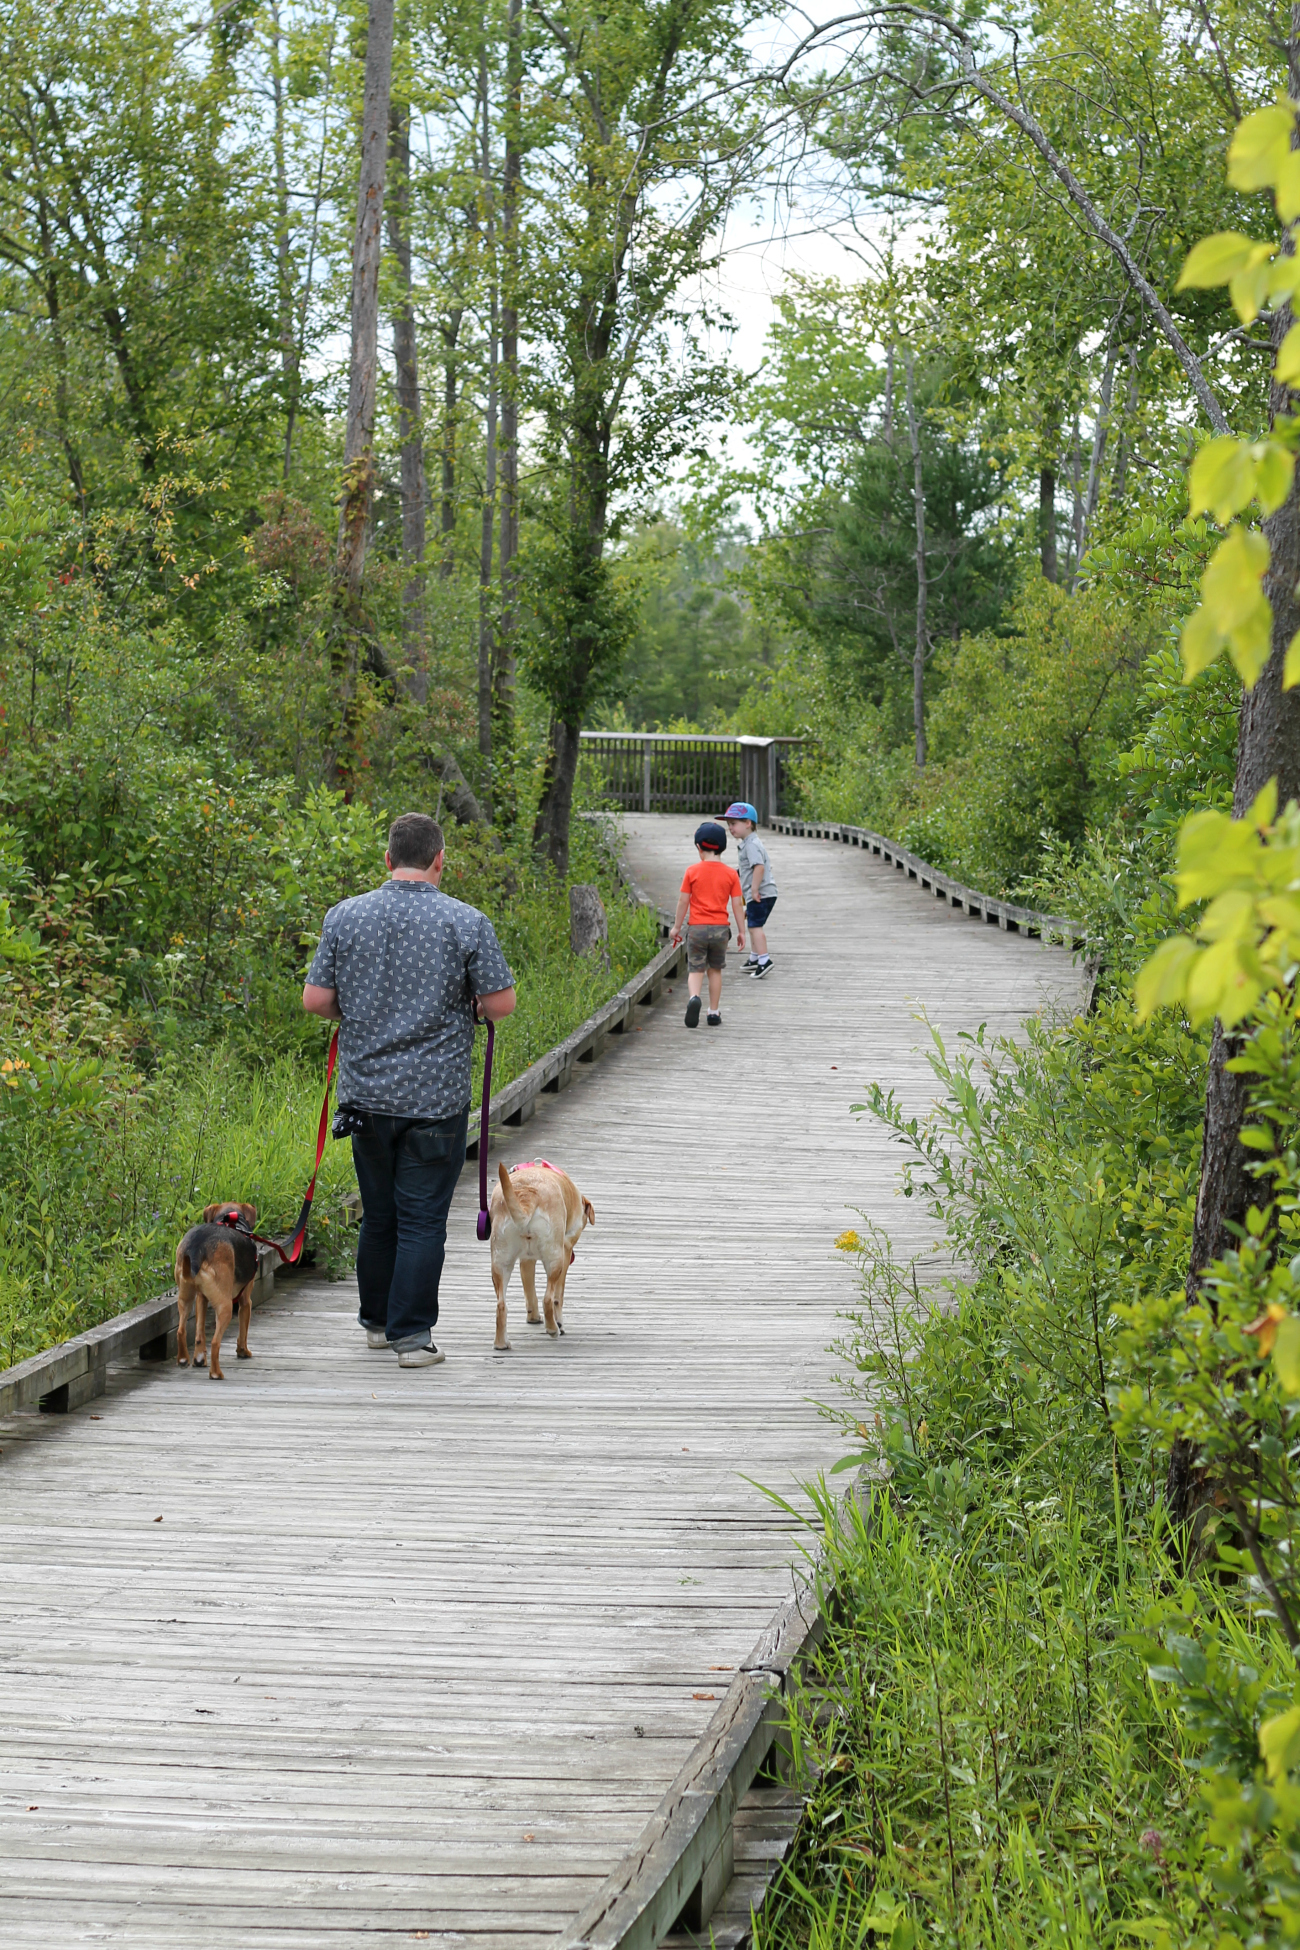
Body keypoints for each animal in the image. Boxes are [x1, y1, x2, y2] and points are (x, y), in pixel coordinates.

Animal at [178, 1193, 259, 1380]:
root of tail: (198, 1247)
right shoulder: (246, 1301)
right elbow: (243, 1331)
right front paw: (243, 1351)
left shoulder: (201, 1298)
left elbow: (199, 1333)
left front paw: (199, 1358)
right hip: (225, 1306)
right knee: (215, 1342)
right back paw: (216, 1373)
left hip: (186, 1298)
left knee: (182, 1331)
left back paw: (186, 1359)